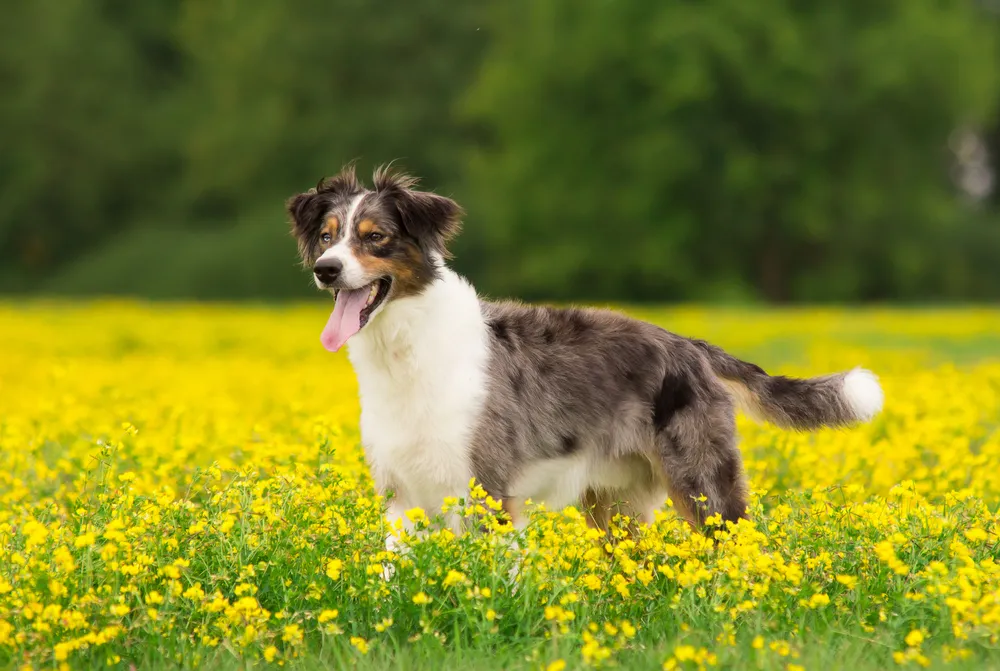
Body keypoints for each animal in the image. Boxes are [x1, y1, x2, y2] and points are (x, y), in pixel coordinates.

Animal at [284, 164, 884, 552]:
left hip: (704, 486)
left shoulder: (488, 491)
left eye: (375, 237)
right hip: (613, 505)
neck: (404, 348)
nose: (326, 271)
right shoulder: (401, 496)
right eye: (327, 236)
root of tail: (689, 345)